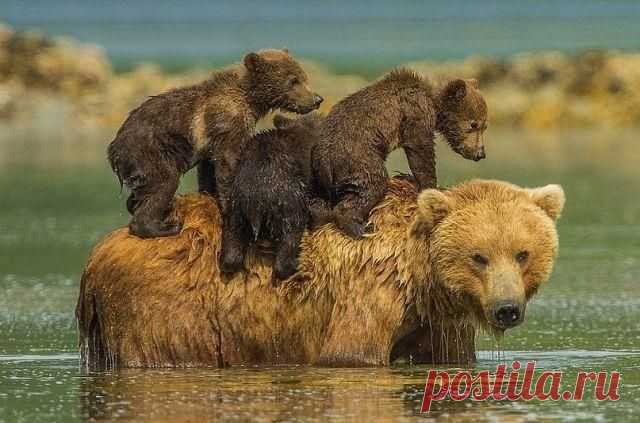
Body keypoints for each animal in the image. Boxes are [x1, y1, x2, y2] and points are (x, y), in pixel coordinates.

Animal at [76, 177, 564, 370]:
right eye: (478, 256)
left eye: (522, 253)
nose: (506, 309)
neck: (419, 276)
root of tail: (96, 254)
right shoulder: (368, 294)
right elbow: (351, 353)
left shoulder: (438, 322)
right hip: (166, 306)